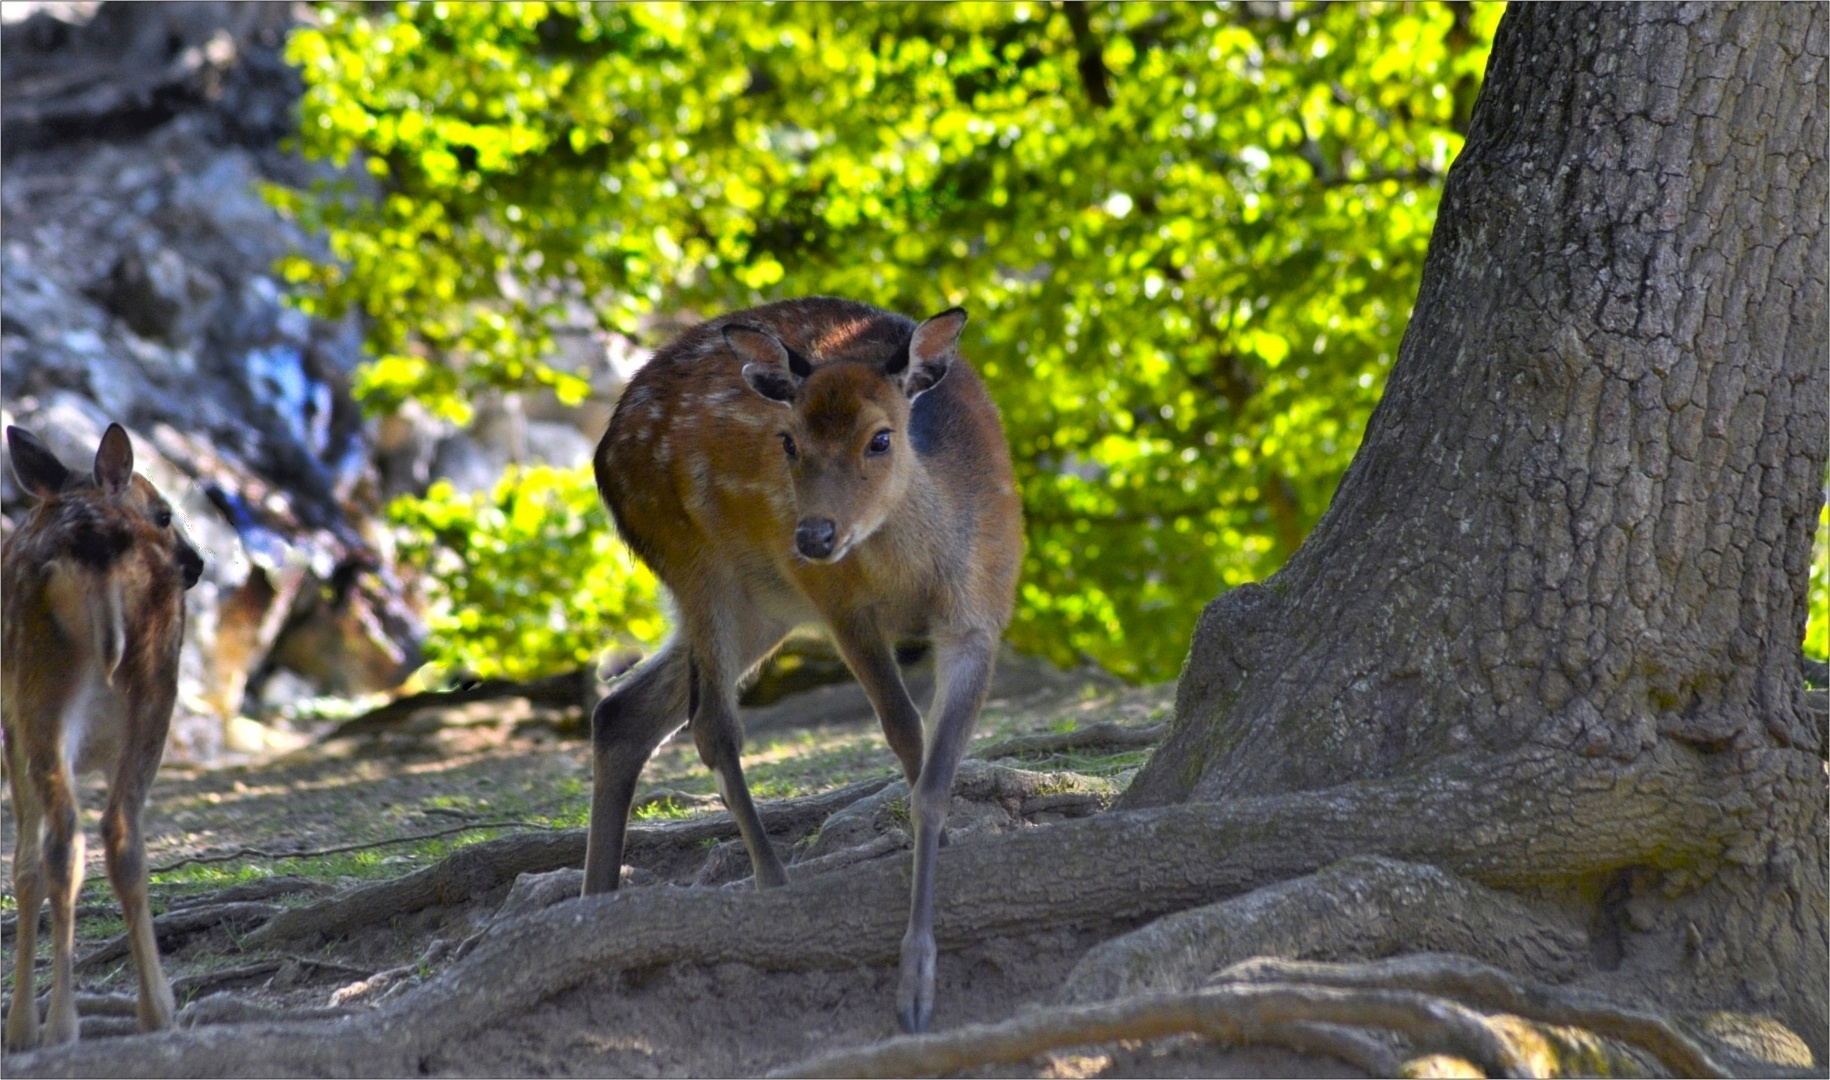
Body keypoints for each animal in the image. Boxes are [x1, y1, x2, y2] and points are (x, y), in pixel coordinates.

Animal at [3, 428, 204, 1054]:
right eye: (163, 513)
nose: (197, 563)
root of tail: (95, 549)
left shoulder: (12, 725)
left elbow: (23, 866)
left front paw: (21, 1028)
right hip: (146, 687)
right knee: (105, 835)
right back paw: (147, 1012)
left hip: (41, 686)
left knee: (66, 841)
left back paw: (64, 1024)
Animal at [581, 296, 1024, 1032]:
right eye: (788, 441)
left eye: (881, 438)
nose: (814, 535)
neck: (917, 576)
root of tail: (601, 451)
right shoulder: (841, 606)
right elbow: (906, 734)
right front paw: (913, 982)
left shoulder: (982, 614)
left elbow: (934, 778)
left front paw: (926, 951)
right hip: (697, 559)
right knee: (711, 727)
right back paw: (771, 880)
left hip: (765, 602)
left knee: (622, 710)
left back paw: (595, 901)